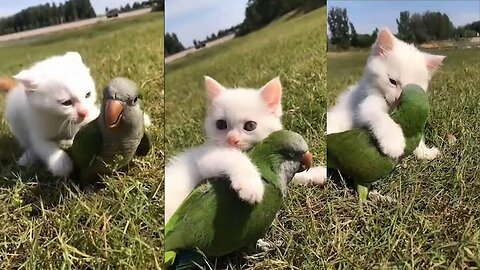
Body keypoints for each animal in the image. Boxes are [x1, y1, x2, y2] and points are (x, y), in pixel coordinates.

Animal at [166, 76, 284, 221]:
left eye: (250, 125)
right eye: (221, 124)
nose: (232, 139)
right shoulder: (206, 158)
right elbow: (234, 157)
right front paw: (251, 186)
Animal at [328, 28, 444, 160]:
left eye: (412, 88)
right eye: (392, 81)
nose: (398, 99)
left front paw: (424, 152)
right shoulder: (366, 104)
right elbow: (381, 117)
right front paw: (393, 142)